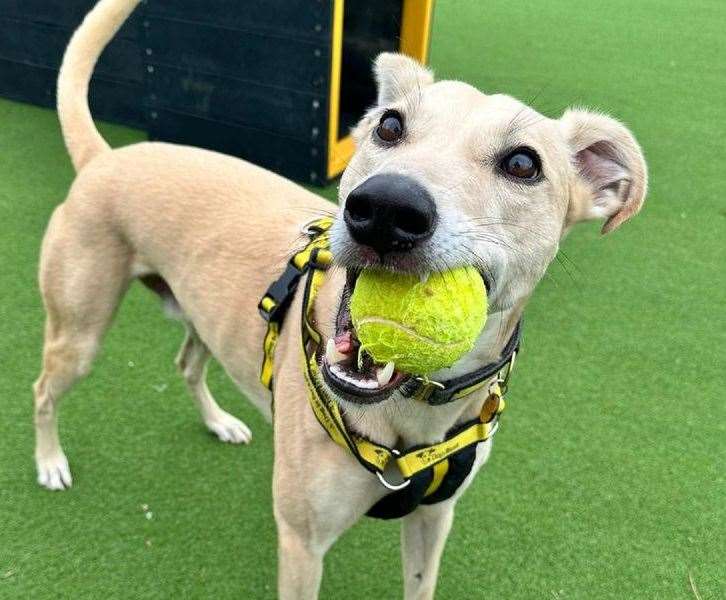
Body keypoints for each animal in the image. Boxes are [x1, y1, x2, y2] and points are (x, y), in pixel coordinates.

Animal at [32, 1, 648, 600]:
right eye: (389, 125)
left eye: (523, 163)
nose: (385, 208)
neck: (414, 412)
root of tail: (106, 157)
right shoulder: (301, 542)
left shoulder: (434, 519)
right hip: (78, 330)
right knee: (44, 389)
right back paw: (50, 463)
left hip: (200, 314)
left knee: (186, 362)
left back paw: (219, 422)